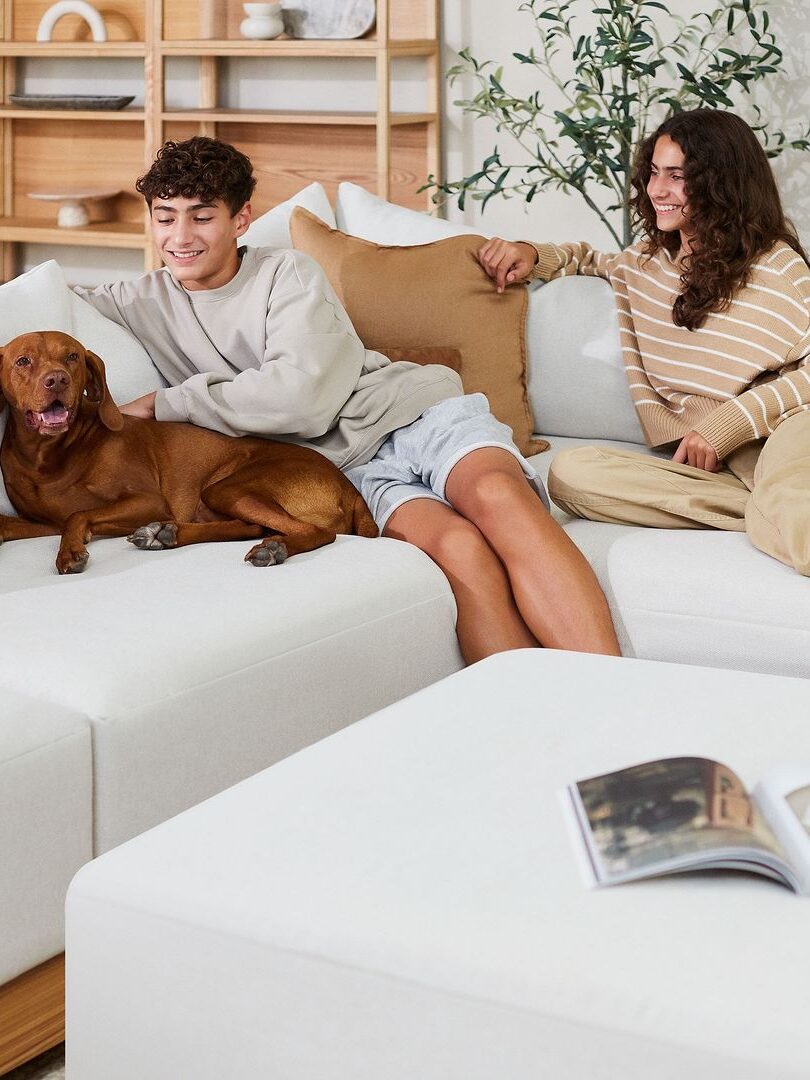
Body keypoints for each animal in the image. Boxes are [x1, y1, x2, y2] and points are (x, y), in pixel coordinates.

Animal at [0, 328, 380, 574]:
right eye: (23, 361)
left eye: (72, 357)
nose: (57, 380)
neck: (49, 457)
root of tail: (348, 487)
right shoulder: (43, 521)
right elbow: (18, 523)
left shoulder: (148, 500)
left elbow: (78, 515)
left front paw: (70, 551)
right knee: (251, 527)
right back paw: (166, 534)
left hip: (226, 487)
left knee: (312, 531)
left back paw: (275, 549)